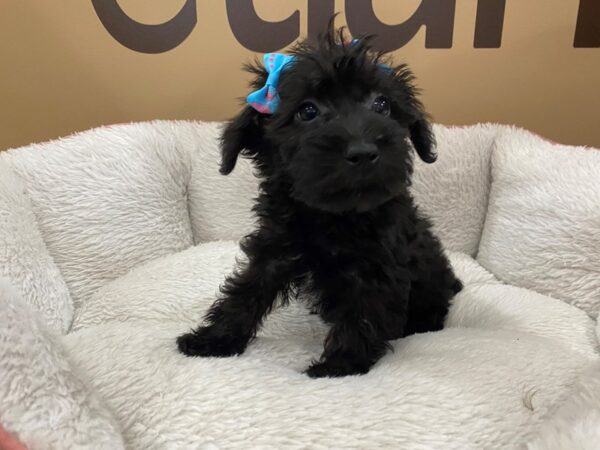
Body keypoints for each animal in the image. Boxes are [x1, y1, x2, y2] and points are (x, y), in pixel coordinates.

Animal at [176, 25, 462, 376]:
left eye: (381, 104)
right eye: (308, 111)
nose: (363, 151)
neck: (334, 215)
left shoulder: (377, 263)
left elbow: (363, 312)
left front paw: (340, 365)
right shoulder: (275, 247)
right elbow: (246, 289)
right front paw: (213, 339)